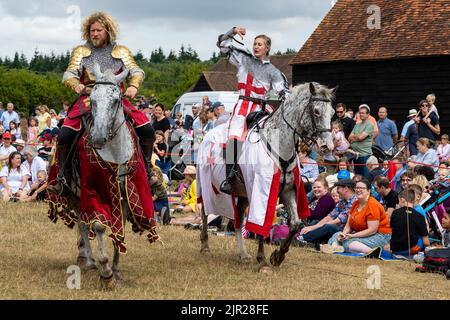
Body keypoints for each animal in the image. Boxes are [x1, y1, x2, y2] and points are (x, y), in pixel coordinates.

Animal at [195, 82, 336, 272]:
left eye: (333, 113)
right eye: (316, 111)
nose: (327, 146)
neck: (280, 146)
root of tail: (207, 135)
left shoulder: (288, 191)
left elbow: (295, 224)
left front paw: (277, 256)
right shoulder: (261, 191)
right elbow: (262, 225)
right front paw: (262, 261)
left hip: (243, 192)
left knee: (238, 219)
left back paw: (243, 254)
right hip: (207, 186)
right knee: (204, 212)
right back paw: (205, 246)